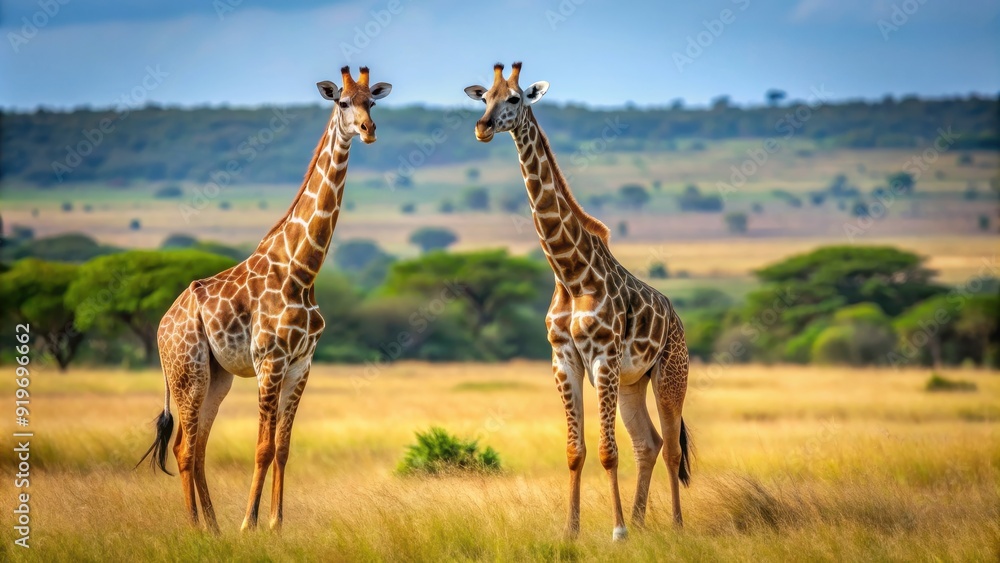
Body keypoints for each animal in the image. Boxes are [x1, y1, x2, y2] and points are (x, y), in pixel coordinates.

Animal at [137, 66, 392, 533]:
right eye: (343, 102)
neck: (303, 270)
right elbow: (263, 446)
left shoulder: (301, 364)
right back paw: (198, 527)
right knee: (184, 447)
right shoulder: (270, 361)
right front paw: (249, 524)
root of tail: (163, 324)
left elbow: (283, 447)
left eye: (372, 101)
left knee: (198, 447)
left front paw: (274, 523)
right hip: (187, 371)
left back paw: (213, 527)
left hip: (216, 377)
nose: (368, 130)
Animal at [465, 62, 692, 541]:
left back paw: (675, 527)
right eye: (484, 97)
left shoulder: (602, 357)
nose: (482, 127)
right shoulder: (563, 358)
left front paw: (617, 532)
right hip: (632, 382)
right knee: (648, 443)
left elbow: (607, 451)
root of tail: (677, 318)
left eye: (514, 98)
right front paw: (572, 531)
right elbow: (576, 450)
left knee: (671, 449)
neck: (569, 273)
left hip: (669, 375)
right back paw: (642, 522)